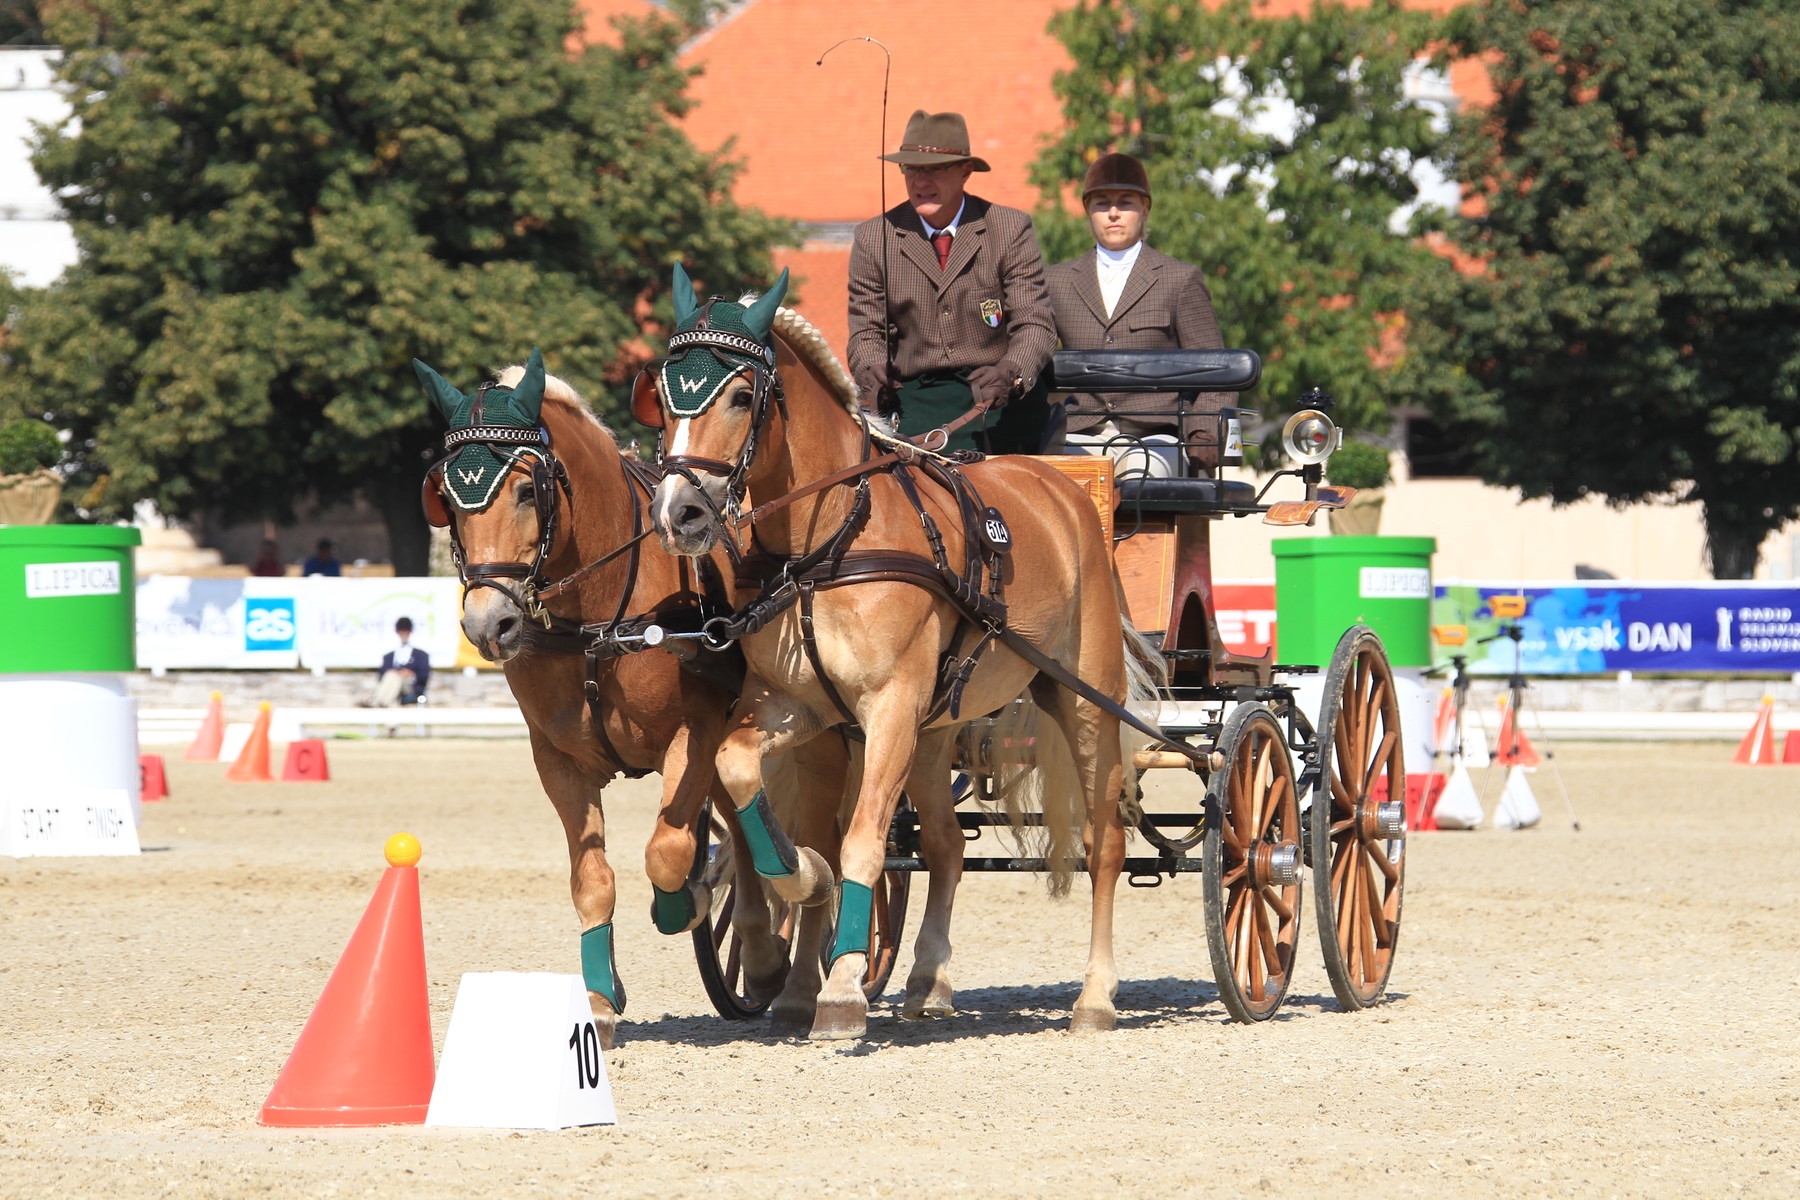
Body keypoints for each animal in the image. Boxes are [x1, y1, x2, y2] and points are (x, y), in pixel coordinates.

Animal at [414, 352, 802, 1043]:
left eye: (527, 490)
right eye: (448, 500)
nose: (489, 625)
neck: (598, 621)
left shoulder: (697, 732)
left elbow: (669, 852)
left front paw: (689, 902)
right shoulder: (557, 761)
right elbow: (592, 879)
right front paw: (599, 998)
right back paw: (759, 952)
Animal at [640, 268, 1144, 1036]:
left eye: (741, 396)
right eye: (667, 397)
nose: (679, 515)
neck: (829, 542)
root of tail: (1063, 488)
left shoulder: (888, 708)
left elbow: (862, 840)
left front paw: (844, 986)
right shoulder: (790, 706)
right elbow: (743, 775)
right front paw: (802, 881)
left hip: (1083, 702)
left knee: (1105, 841)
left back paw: (1096, 997)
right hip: (935, 731)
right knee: (946, 844)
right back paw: (929, 979)